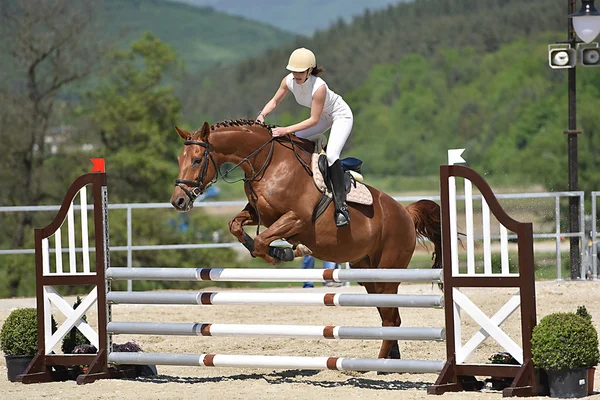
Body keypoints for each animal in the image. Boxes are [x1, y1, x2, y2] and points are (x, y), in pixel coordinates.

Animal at [171, 119, 442, 360]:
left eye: (197, 160)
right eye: (179, 160)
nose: (178, 201)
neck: (267, 163)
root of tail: (405, 213)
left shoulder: (296, 219)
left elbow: (262, 242)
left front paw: (285, 252)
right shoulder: (260, 214)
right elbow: (236, 226)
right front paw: (279, 249)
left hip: (387, 274)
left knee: (391, 318)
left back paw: (375, 366)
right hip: (368, 275)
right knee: (389, 317)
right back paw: (389, 362)